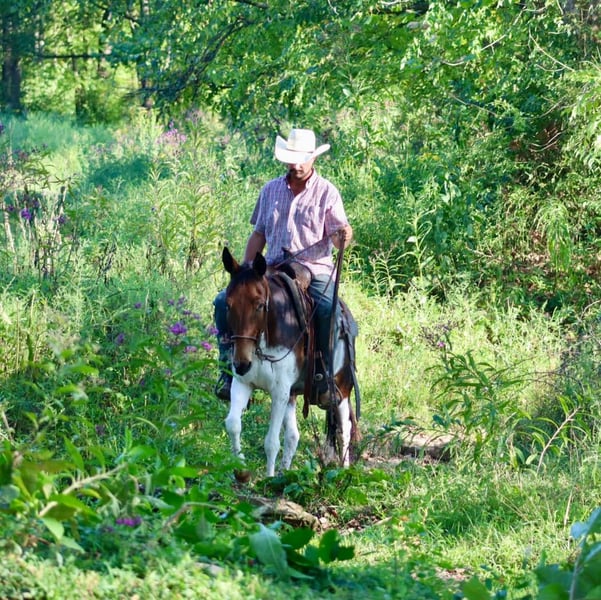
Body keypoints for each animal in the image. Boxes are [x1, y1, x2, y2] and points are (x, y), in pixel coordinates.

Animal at [221, 247, 360, 477]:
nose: (242, 364)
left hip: (341, 390)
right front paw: (241, 470)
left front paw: (267, 479)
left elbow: (271, 442)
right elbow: (233, 424)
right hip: (294, 394)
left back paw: (343, 471)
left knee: (344, 430)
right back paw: (285, 473)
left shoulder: (279, 392)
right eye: (228, 305)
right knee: (293, 436)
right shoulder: (243, 383)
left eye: (260, 305)